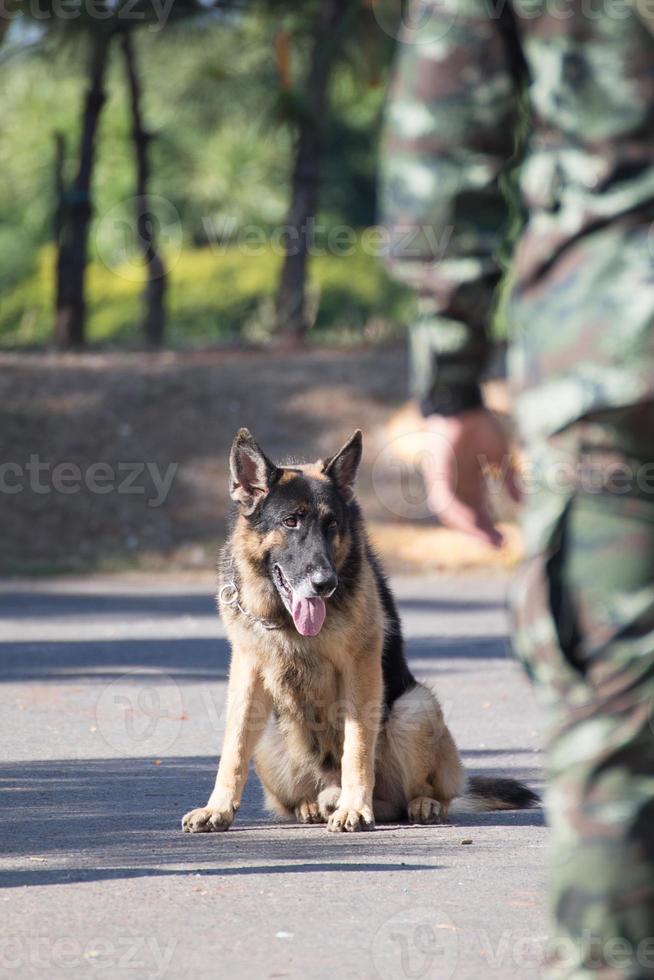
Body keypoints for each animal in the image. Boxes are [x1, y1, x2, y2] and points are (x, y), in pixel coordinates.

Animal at [182, 428, 540, 836]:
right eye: (290, 522)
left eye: (332, 524)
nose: (325, 584)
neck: (286, 620)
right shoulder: (247, 671)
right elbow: (234, 747)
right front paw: (218, 808)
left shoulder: (360, 667)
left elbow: (357, 746)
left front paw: (354, 807)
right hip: (271, 736)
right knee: (296, 795)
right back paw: (313, 805)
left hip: (415, 709)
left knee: (415, 796)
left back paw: (418, 804)